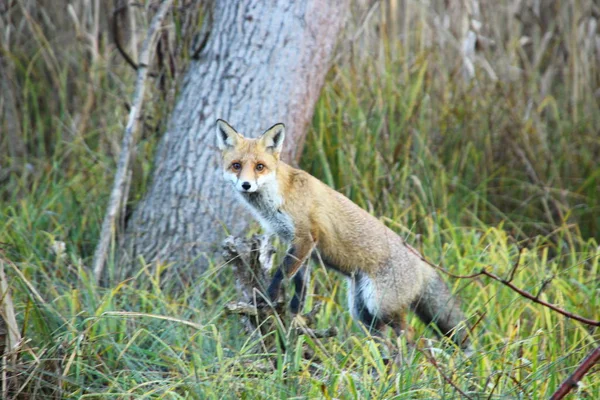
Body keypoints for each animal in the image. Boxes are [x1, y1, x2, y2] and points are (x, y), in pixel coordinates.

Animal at [216, 119, 474, 350]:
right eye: (236, 165)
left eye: (260, 166)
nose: (246, 185)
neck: (280, 196)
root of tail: (420, 260)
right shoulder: (300, 245)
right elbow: (300, 285)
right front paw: (295, 315)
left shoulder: (305, 237)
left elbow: (282, 273)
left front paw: (267, 297)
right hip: (364, 312)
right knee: (385, 340)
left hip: (380, 305)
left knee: (409, 333)